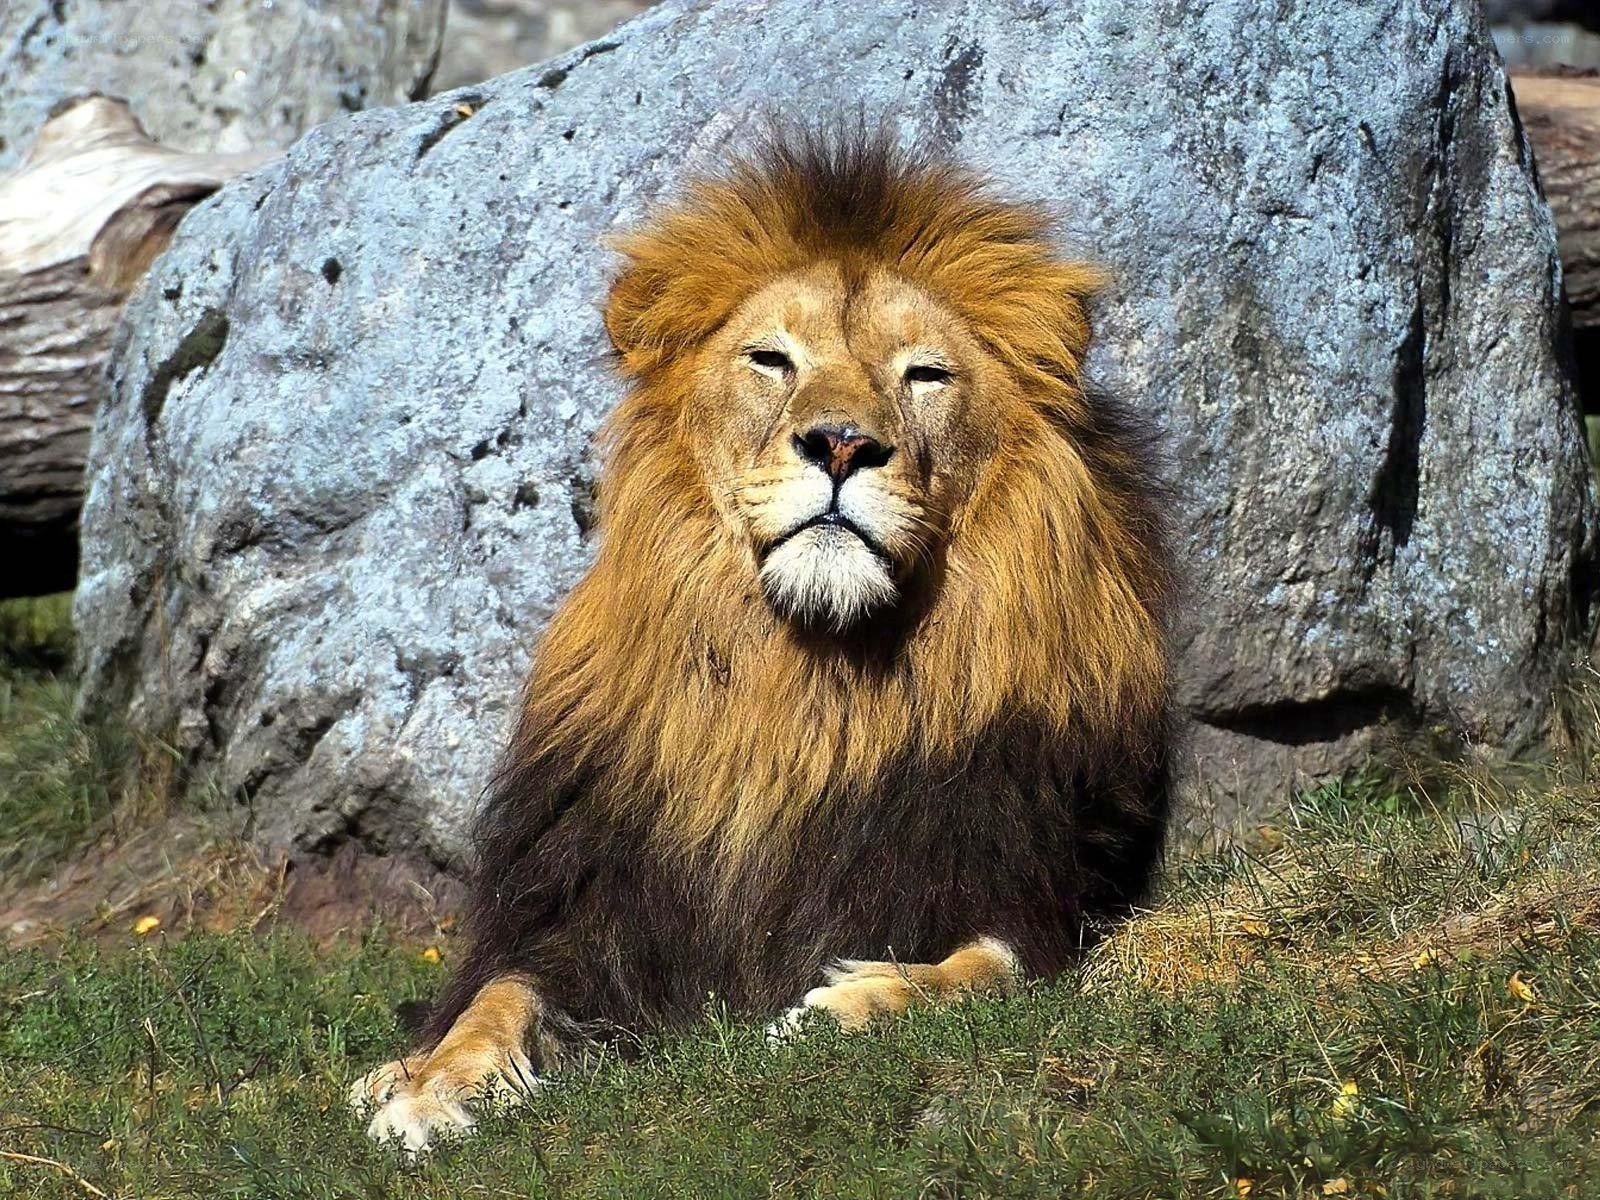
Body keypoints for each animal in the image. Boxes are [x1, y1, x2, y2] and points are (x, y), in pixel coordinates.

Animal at [351, 129, 1175, 1151]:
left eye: (925, 374)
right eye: (772, 360)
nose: (840, 444)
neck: (802, 688)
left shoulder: (1040, 885)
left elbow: (983, 966)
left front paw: (850, 1002)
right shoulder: (587, 909)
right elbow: (495, 998)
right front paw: (434, 1088)